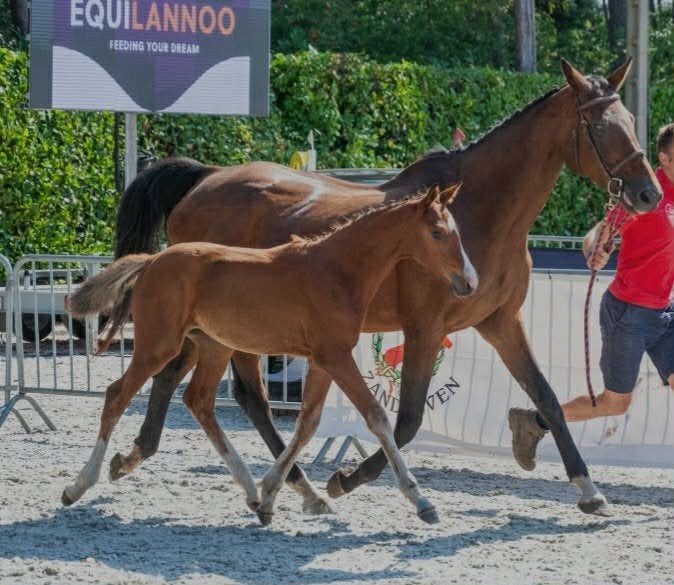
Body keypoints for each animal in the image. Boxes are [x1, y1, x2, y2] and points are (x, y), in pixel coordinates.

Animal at [62, 185, 476, 524]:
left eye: (457, 231)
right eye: (437, 233)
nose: (469, 282)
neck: (337, 270)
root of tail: (151, 261)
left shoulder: (322, 361)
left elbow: (307, 424)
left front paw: (272, 496)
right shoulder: (336, 356)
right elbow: (377, 417)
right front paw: (422, 502)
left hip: (213, 345)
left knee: (200, 401)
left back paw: (249, 492)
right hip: (158, 344)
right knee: (117, 395)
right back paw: (79, 485)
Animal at [113, 58, 661, 516]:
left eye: (632, 123)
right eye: (599, 127)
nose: (648, 193)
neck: (479, 216)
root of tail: (204, 178)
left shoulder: (499, 322)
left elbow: (546, 396)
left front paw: (588, 488)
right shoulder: (425, 329)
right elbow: (407, 420)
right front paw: (349, 479)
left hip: (218, 326)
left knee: (202, 386)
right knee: (228, 392)